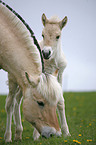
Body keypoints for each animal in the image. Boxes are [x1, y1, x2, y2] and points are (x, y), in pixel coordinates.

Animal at [0, 1, 63, 142]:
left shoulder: (15, 74)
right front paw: (7, 137)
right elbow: (9, 104)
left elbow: (12, 103)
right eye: (40, 103)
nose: (55, 135)